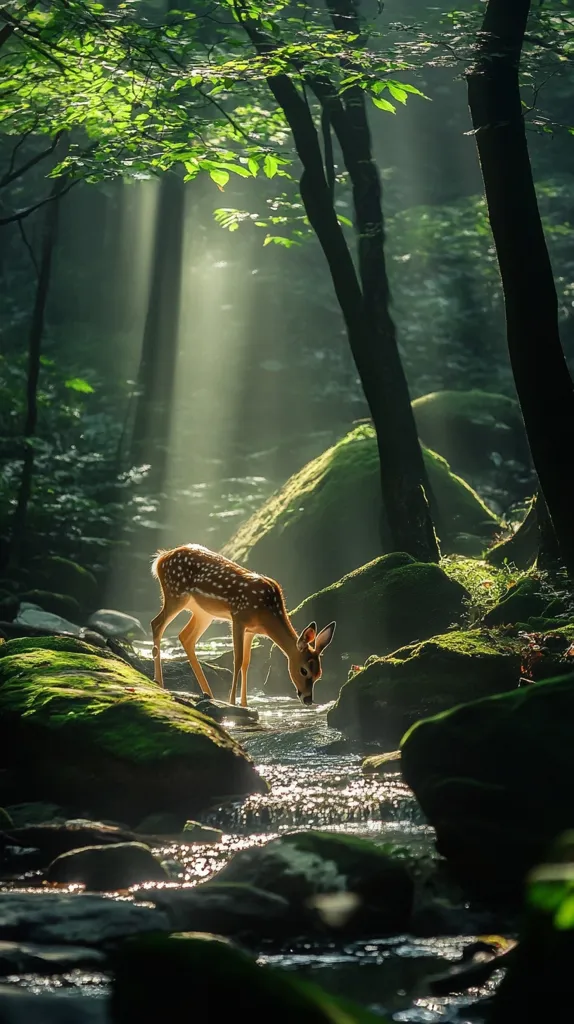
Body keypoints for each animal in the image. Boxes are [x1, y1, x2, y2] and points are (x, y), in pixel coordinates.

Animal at [150, 544, 336, 707]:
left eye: (319, 674)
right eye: (304, 670)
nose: (308, 700)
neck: (268, 612)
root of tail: (160, 559)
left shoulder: (251, 631)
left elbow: (246, 663)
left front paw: (245, 704)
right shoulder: (238, 617)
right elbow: (237, 660)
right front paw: (232, 702)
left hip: (203, 612)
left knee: (185, 637)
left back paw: (208, 693)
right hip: (176, 594)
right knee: (156, 624)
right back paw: (159, 682)